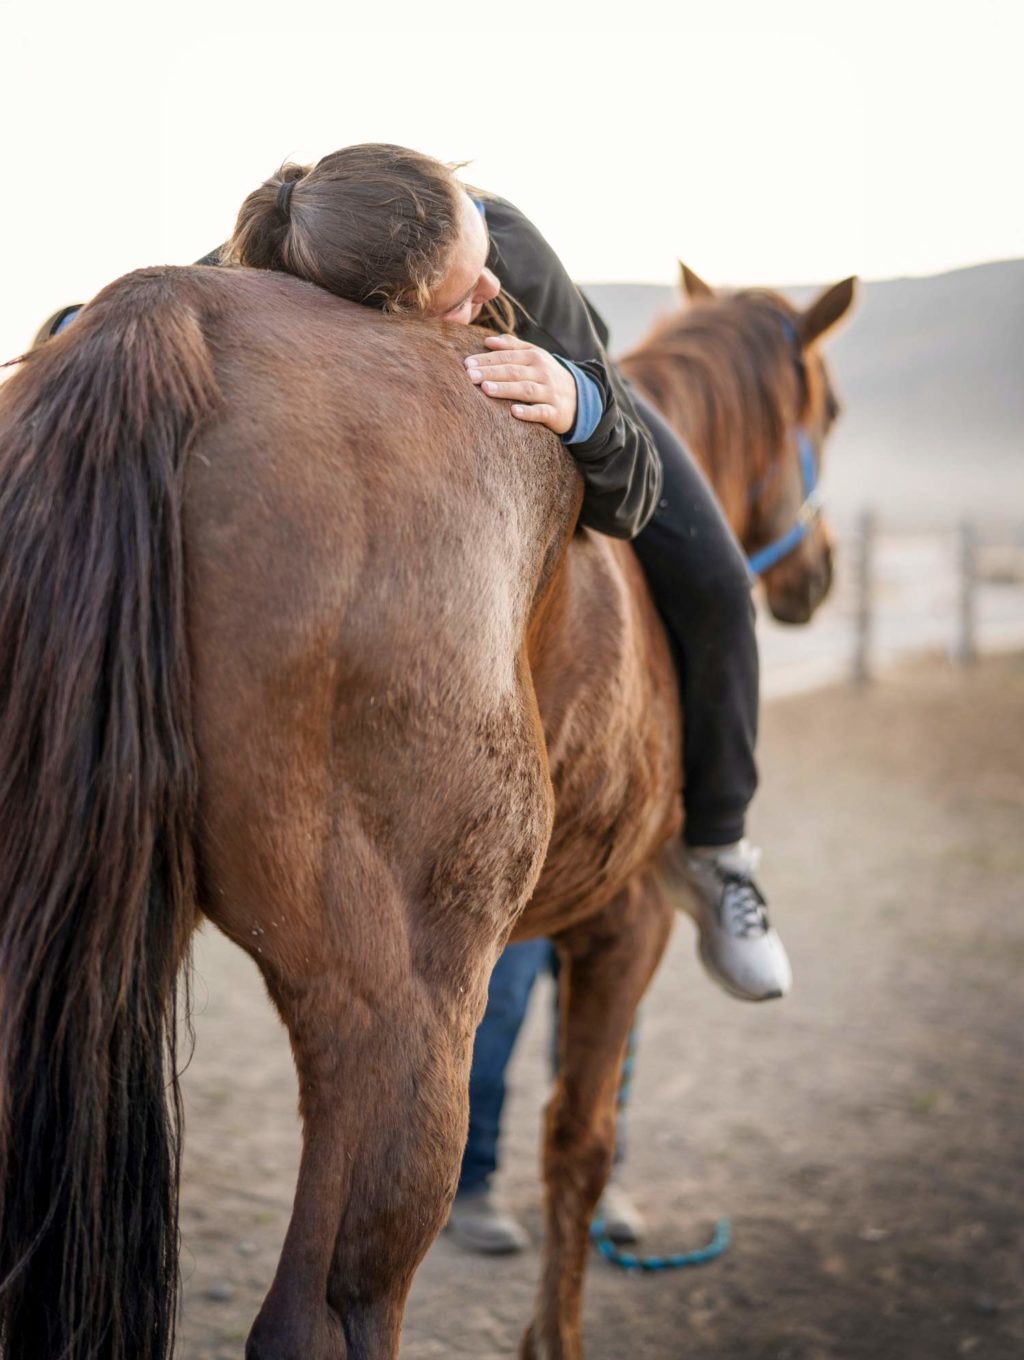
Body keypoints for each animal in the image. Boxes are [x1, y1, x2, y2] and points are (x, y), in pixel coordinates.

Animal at [0, 258, 851, 1360]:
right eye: (827, 409)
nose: (819, 571)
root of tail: (164, 307)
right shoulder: (625, 925)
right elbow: (578, 1139)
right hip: (400, 1019)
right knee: (325, 1311)